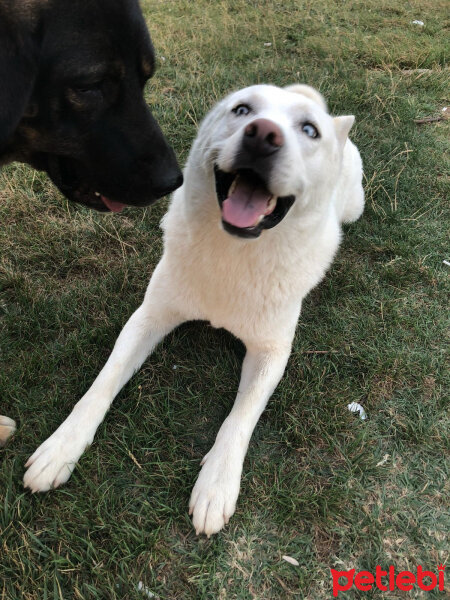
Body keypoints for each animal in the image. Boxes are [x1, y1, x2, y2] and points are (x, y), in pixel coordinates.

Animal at [22, 83, 364, 536]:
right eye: (243, 109)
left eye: (309, 129)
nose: (262, 135)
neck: (233, 253)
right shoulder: (148, 318)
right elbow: (101, 384)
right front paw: (62, 446)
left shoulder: (271, 353)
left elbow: (240, 419)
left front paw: (217, 484)